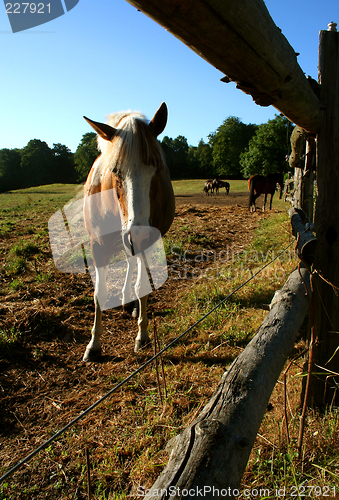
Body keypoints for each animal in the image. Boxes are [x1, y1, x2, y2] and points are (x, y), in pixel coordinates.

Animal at [82, 102, 175, 360]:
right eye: (115, 171)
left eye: (156, 168)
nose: (139, 234)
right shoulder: (97, 247)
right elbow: (99, 293)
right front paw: (94, 344)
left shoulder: (147, 243)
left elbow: (142, 286)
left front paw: (142, 336)